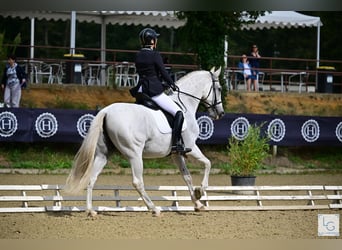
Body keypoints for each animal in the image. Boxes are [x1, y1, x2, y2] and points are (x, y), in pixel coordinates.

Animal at [64, 67, 224, 217]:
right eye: (219, 88)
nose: (220, 113)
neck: (185, 104)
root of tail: (106, 111)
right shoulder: (191, 146)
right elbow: (208, 163)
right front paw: (200, 191)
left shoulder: (176, 154)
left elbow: (187, 176)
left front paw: (198, 203)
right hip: (134, 154)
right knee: (137, 182)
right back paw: (154, 209)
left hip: (103, 154)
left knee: (91, 178)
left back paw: (90, 211)